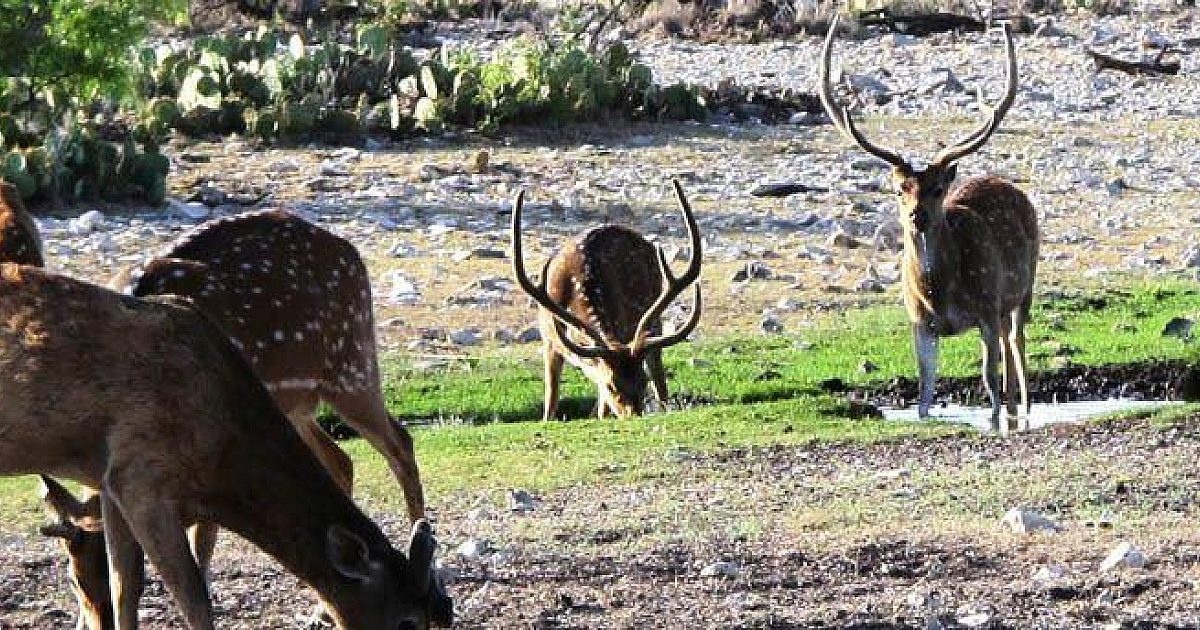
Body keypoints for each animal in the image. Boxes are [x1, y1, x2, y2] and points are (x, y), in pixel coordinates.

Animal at [0, 264, 452, 630]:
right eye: (408, 622)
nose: (445, 611)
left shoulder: (109, 481)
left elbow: (124, 588)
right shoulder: (141, 473)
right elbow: (193, 597)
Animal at [511, 179, 703, 420]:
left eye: (643, 381)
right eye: (612, 385)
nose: (634, 415)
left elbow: (603, 409)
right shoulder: (549, 339)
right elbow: (550, 404)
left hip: (652, 322)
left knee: (659, 376)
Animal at [818, 17, 1039, 434]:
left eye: (938, 189)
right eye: (899, 188)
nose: (916, 215)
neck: (938, 291)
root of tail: (1009, 185)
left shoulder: (985, 306)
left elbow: (988, 379)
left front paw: (994, 419)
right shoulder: (919, 322)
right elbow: (924, 391)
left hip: (1023, 287)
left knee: (1016, 346)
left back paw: (1024, 411)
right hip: (1002, 303)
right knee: (1008, 345)